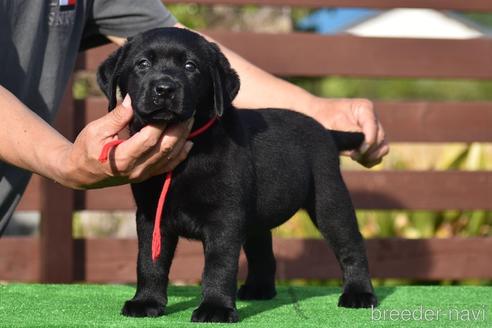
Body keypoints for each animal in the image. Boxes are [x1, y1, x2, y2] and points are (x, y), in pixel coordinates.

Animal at [98, 27, 378, 322]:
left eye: (190, 66)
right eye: (142, 64)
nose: (164, 88)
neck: (191, 148)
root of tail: (326, 131)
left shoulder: (225, 217)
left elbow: (218, 266)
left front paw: (215, 307)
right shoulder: (151, 214)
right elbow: (149, 262)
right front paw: (146, 301)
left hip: (329, 199)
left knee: (351, 246)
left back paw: (359, 293)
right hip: (258, 218)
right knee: (263, 253)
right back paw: (258, 289)